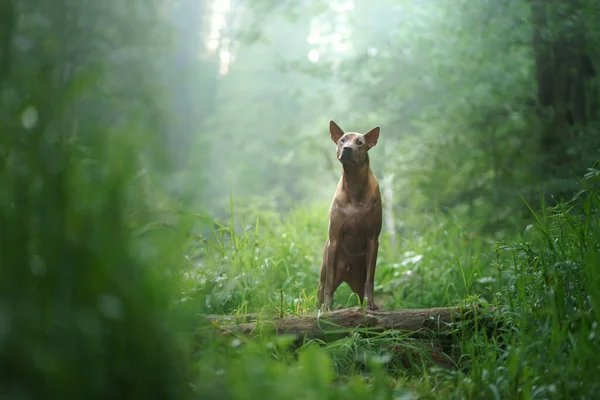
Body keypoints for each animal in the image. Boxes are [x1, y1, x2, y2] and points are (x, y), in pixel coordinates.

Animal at [316, 120, 382, 310]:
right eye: (342, 140)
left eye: (359, 142)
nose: (347, 148)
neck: (354, 185)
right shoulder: (334, 240)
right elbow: (329, 284)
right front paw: (327, 307)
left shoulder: (373, 239)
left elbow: (370, 280)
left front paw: (372, 304)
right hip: (324, 272)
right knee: (322, 288)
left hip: (359, 277)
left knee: (361, 291)